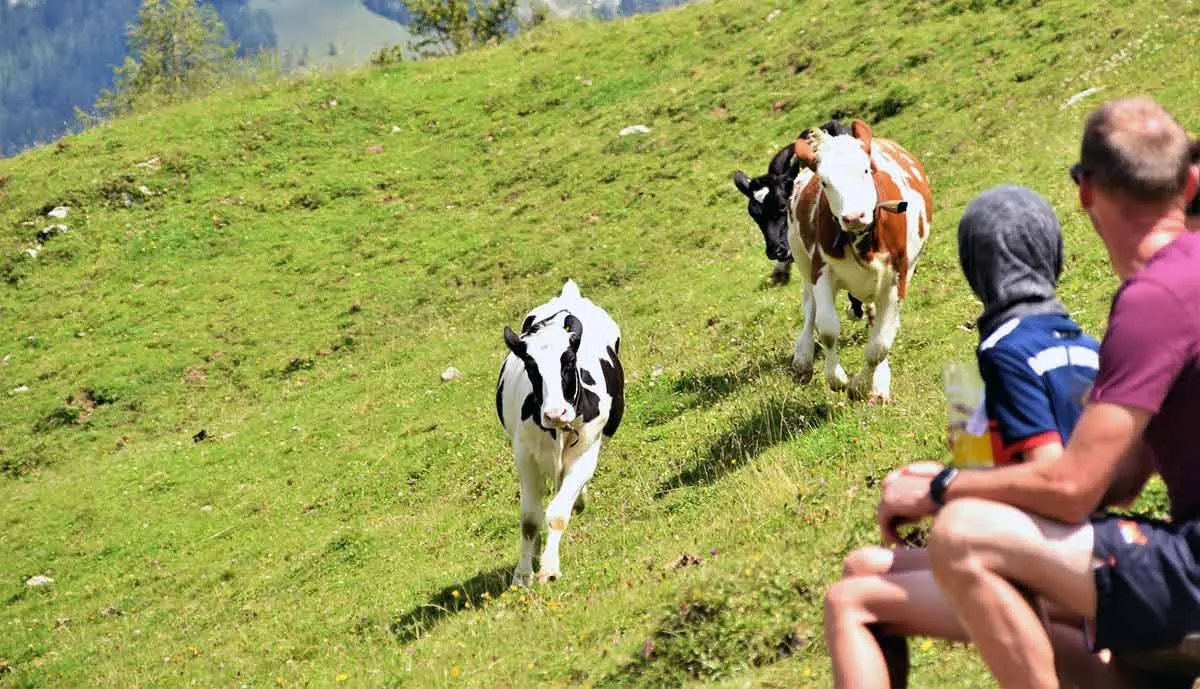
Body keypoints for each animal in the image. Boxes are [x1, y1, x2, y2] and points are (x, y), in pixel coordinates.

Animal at [492, 280, 624, 588]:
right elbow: (530, 519)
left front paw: (549, 568)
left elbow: (557, 513)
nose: (555, 413)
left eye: (570, 360)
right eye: (530, 366)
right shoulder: (525, 455)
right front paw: (523, 573)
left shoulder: (587, 452)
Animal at [734, 117, 931, 398]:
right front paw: (837, 379)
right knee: (810, 307)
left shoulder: (897, 277)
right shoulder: (820, 270)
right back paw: (803, 359)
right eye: (824, 182)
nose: (854, 216)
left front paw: (866, 385)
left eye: (866, 170)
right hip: (804, 259)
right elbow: (826, 328)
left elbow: (880, 344)